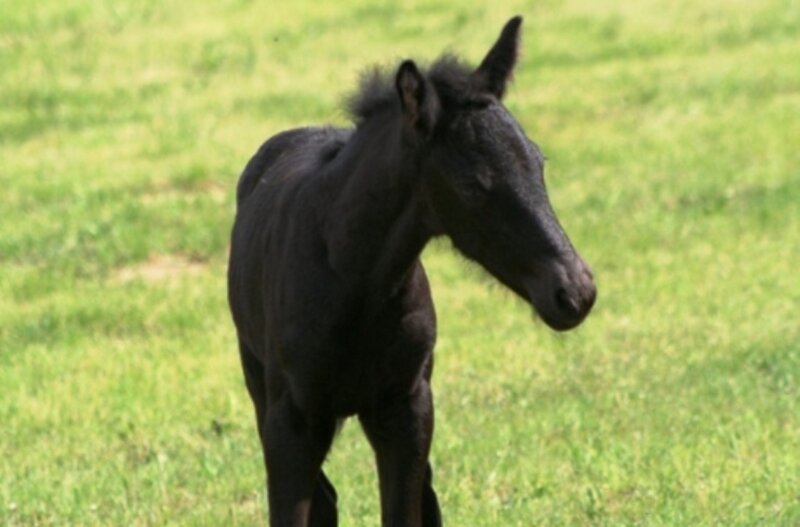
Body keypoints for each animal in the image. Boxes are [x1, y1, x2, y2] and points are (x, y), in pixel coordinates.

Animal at [227, 16, 596, 527]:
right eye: (472, 184)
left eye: (538, 162)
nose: (575, 291)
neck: (352, 282)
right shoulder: (291, 421)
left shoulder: (407, 409)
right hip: (259, 383)